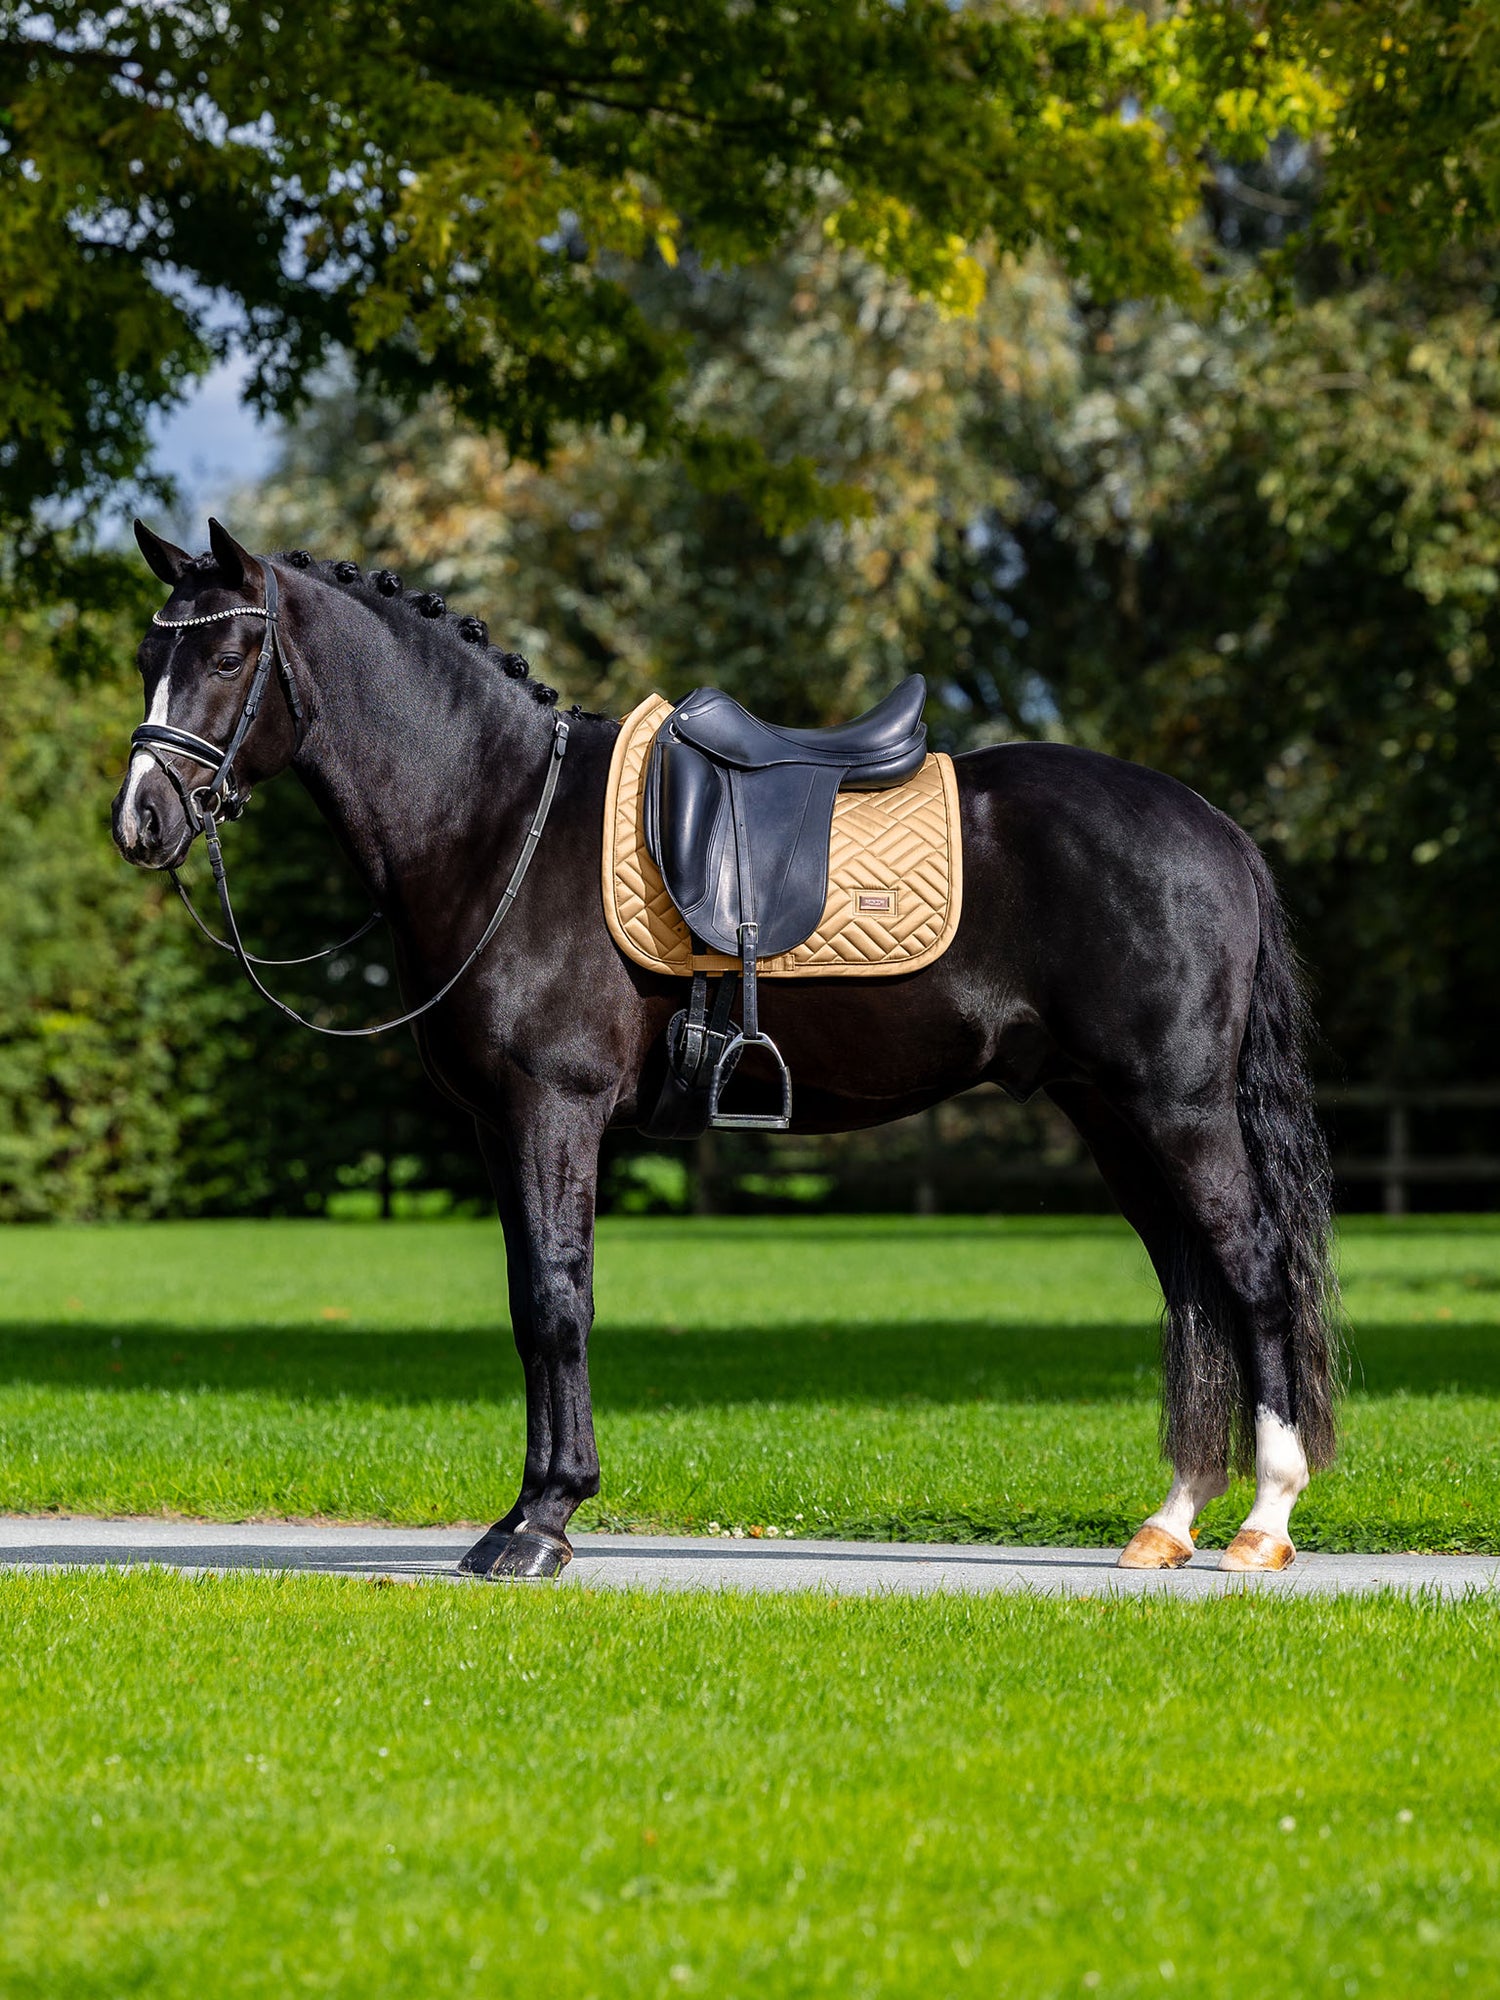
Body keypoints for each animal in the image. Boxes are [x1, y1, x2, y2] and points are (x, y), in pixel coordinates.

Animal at [113, 518, 1341, 1581]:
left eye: (229, 654)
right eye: (144, 656)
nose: (141, 821)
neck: (501, 822)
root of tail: (1215, 828)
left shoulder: (552, 1110)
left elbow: (555, 1300)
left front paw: (544, 1520)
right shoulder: (503, 1124)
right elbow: (528, 1302)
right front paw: (523, 1512)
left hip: (1178, 1108)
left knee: (1250, 1271)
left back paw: (1265, 1519)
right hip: (1113, 1114)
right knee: (1191, 1284)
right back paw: (1171, 1519)